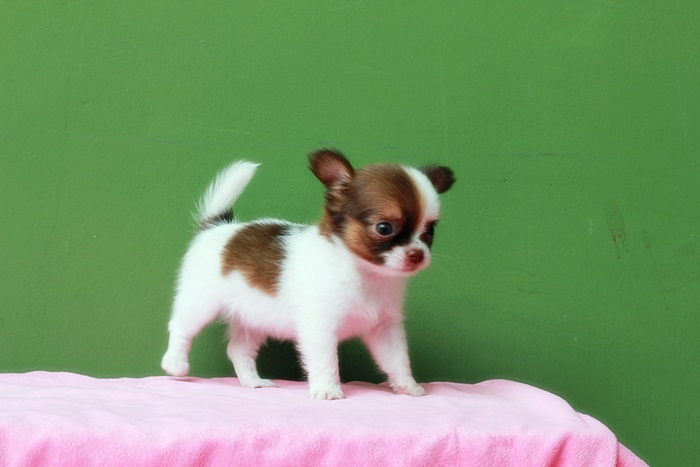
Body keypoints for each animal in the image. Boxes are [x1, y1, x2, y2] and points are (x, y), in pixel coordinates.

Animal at [161, 149, 455, 400]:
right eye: (384, 228)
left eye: (430, 231)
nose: (417, 254)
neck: (363, 273)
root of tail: (220, 226)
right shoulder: (319, 328)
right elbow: (326, 361)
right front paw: (327, 389)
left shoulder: (384, 328)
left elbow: (397, 359)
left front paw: (407, 385)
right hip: (200, 301)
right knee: (181, 327)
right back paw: (175, 362)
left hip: (253, 318)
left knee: (238, 350)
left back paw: (253, 381)